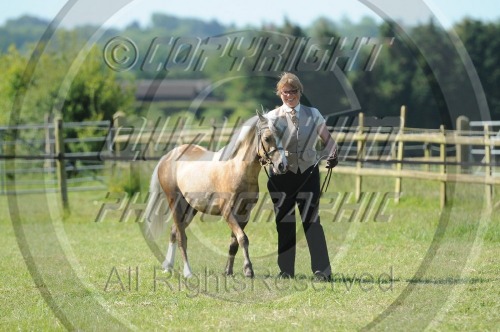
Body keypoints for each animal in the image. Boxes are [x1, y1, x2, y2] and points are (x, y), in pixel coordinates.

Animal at [145, 111, 288, 278]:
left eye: (283, 135)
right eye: (267, 138)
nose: (282, 165)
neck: (237, 169)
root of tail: (167, 157)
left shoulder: (244, 213)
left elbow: (234, 242)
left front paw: (228, 271)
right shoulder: (227, 212)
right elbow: (243, 238)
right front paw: (248, 270)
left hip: (190, 209)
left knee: (174, 232)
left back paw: (167, 267)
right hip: (175, 203)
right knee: (181, 237)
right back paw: (187, 272)